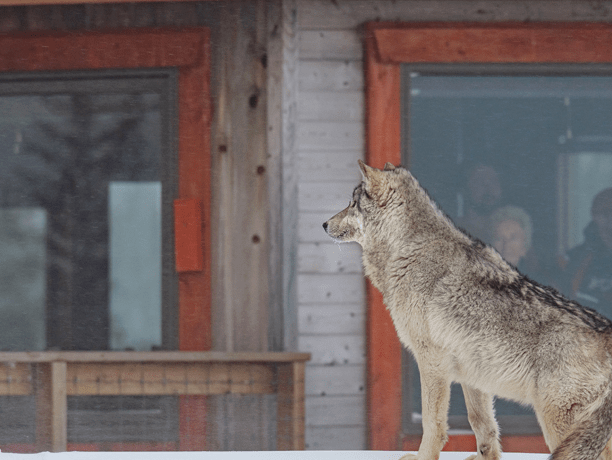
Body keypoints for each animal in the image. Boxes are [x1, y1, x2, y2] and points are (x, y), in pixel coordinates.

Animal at [322, 161, 612, 460]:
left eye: (352, 203)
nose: (324, 224)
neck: (407, 250)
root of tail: (608, 333)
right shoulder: (473, 376)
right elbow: (482, 425)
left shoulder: (432, 363)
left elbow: (432, 423)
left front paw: (423, 457)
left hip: (556, 422)